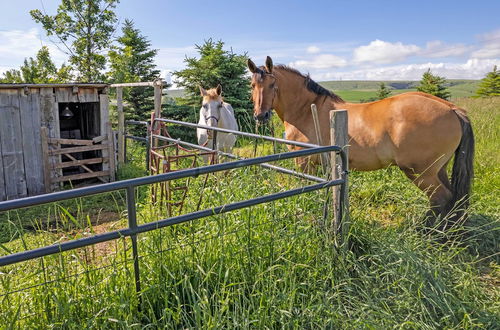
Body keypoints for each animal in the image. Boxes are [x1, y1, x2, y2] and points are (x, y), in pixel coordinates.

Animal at [248, 58, 474, 226]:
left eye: (273, 84)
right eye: (252, 85)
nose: (261, 116)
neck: (307, 109)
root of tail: (452, 109)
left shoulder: (304, 163)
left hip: (421, 173)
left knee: (440, 199)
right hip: (438, 169)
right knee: (452, 198)